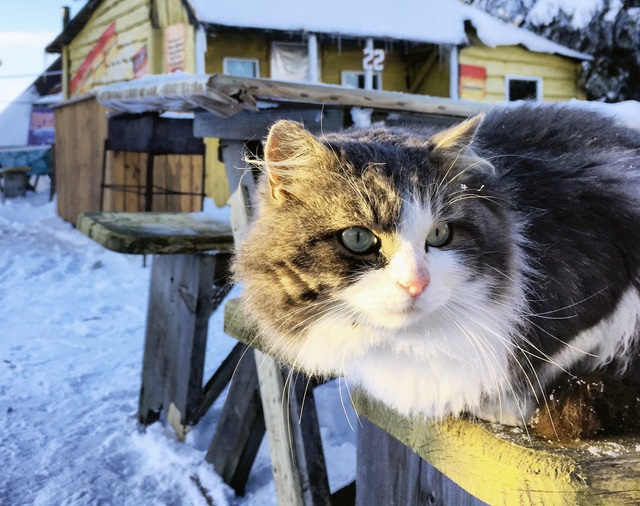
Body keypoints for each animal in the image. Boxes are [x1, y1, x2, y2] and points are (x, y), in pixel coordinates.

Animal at [232, 104, 640, 434]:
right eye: (358, 238)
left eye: (441, 234)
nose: (416, 283)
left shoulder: (599, 282)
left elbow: (555, 356)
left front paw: (507, 405)